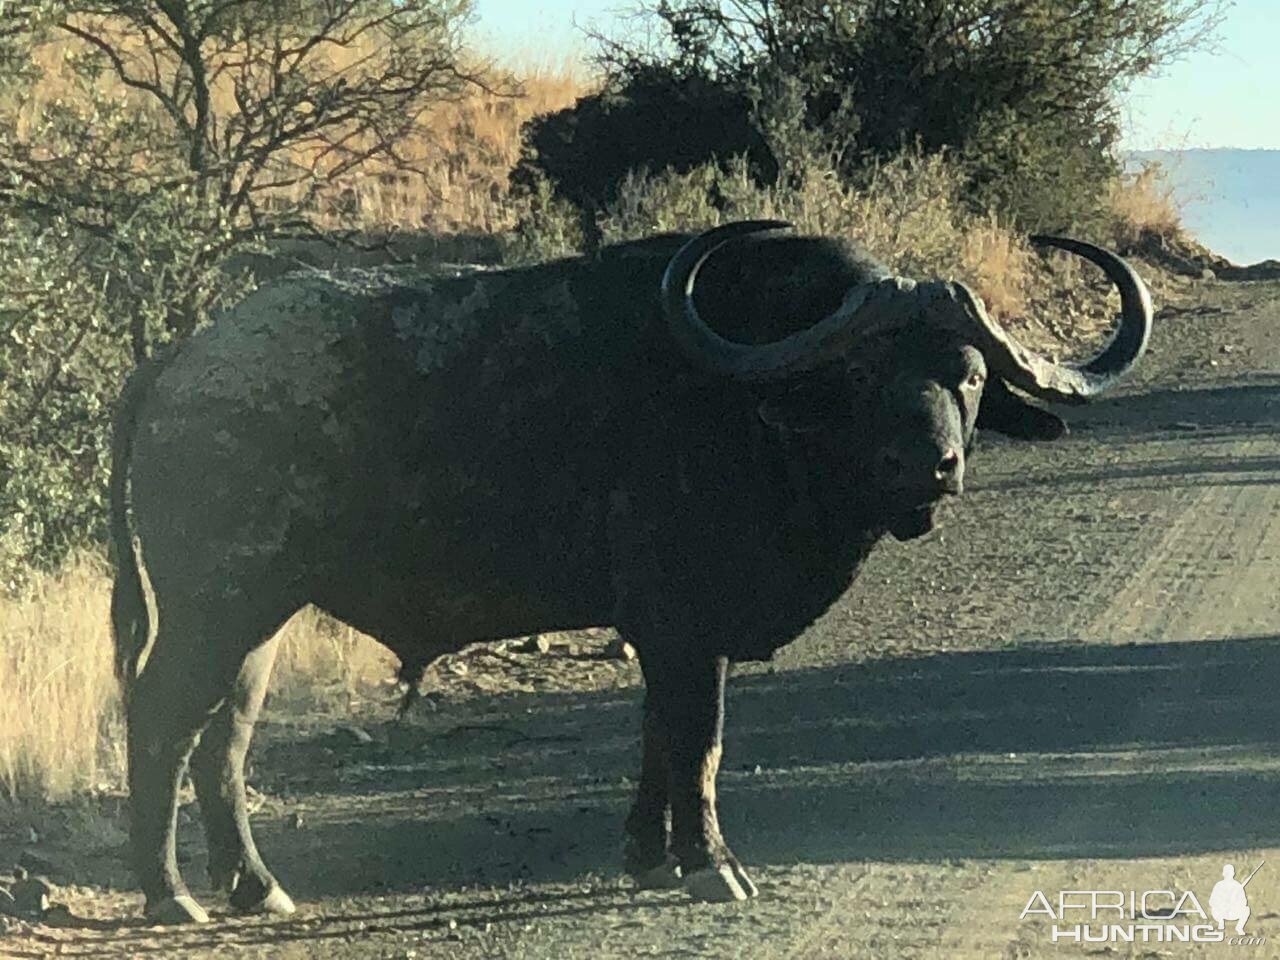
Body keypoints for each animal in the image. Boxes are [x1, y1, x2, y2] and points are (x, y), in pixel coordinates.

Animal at [110, 220, 1152, 926]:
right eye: (862, 372)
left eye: (968, 374)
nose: (930, 465)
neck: (754, 411)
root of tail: (179, 362)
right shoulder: (687, 624)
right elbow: (700, 742)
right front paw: (712, 864)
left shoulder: (665, 633)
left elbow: (659, 738)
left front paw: (651, 855)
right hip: (218, 606)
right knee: (164, 719)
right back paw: (170, 897)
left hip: (259, 621)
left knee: (225, 738)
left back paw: (256, 887)